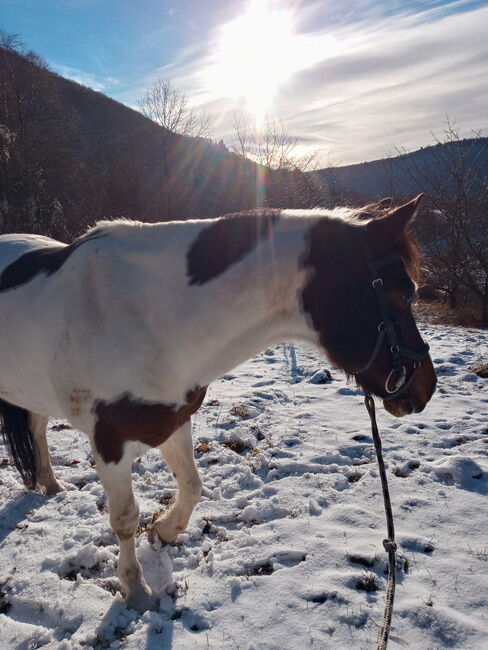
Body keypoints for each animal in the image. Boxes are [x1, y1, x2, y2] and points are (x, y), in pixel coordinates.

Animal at [0, 195, 434, 612]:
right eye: (402, 294)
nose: (426, 387)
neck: (148, 316)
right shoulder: (111, 443)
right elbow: (124, 519)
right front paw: (136, 590)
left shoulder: (173, 420)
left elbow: (192, 485)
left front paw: (164, 531)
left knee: (37, 426)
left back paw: (51, 484)